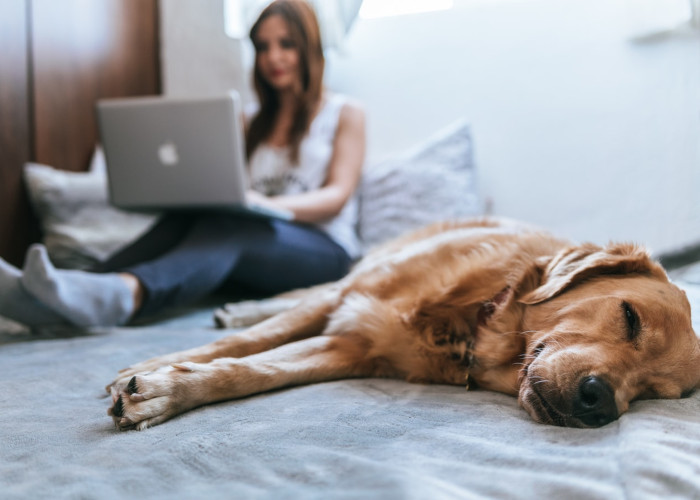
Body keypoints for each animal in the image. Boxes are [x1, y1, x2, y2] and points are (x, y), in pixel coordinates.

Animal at [105, 219, 700, 430]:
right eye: (629, 317)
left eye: (655, 393)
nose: (599, 402)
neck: (473, 317)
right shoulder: (347, 301)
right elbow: (251, 341)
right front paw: (156, 369)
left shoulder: (348, 347)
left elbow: (252, 370)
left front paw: (166, 391)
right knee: (294, 298)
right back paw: (240, 306)